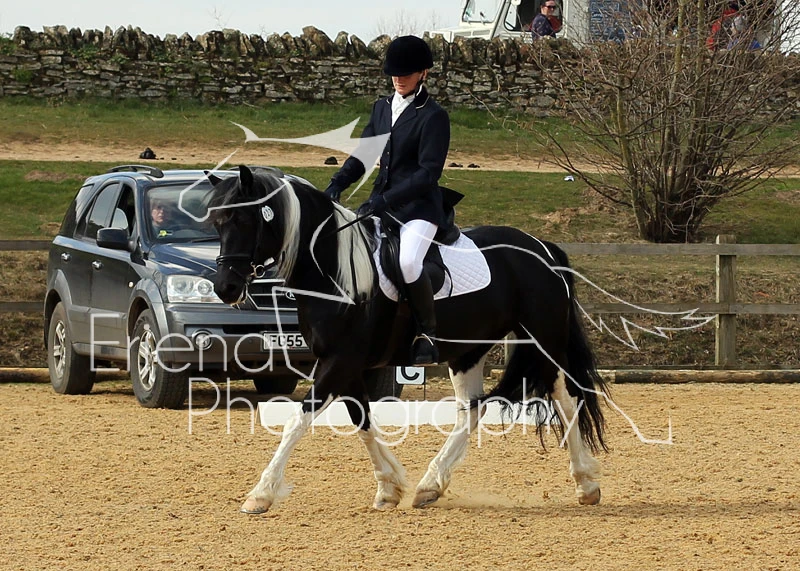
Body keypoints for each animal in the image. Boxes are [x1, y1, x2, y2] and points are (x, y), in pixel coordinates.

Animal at [209, 165, 608, 514]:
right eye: (216, 221)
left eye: (244, 219)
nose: (225, 288)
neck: (331, 270)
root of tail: (543, 248)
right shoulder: (347, 366)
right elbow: (362, 420)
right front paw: (389, 487)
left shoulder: (339, 362)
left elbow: (299, 420)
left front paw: (260, 494)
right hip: (467, 351)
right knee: (473, 409)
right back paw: (430, 486)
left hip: (542, 342)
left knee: (565, 399)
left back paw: (586, 484)